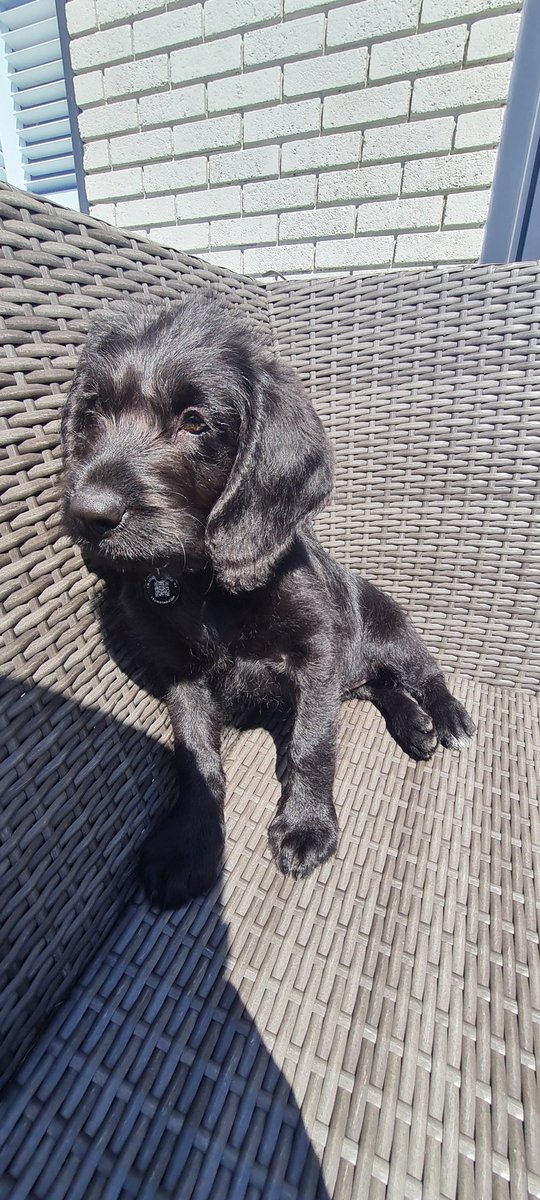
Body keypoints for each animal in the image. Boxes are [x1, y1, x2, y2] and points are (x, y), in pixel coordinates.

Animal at [62, 297, 472, 907]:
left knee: (420, 673)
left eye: (194, 421)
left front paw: (306, 825)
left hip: (391, 629)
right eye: (93, 414)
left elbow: (313, 744)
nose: (89, 514)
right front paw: (189, 843)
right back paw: (413, 724)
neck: (205, 585)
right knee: (378, 688)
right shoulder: (181, 673)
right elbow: (197, 757)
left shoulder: (318, 655)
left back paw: (443, 716)